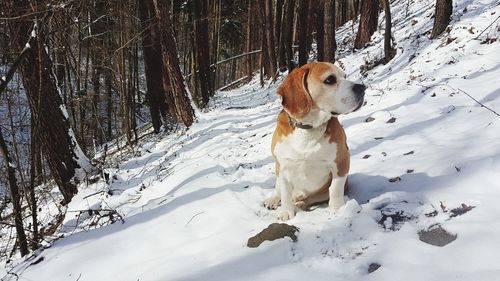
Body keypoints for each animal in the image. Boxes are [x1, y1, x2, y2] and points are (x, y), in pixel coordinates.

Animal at [264, 61, 366, 219]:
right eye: (330, 79)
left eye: (345, 76)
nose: (362, 87)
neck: (308, 129)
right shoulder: (283, 167)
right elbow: (285, 193)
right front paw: (286, 212)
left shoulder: (341, 162)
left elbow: (335, 189)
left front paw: (338, 209)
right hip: (278, 173)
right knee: (279, 190)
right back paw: (274, 199)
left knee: (310, 198)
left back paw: (300, 203)